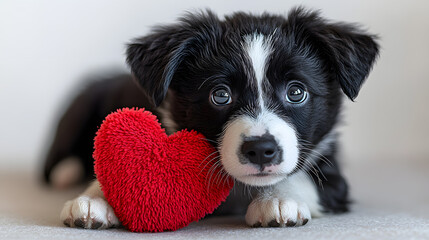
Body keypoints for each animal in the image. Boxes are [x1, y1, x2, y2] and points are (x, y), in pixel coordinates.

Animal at [46, 7, 378, 229]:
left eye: (296, 92)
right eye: (220, 95)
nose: (261, 150)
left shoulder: (332, 171)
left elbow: (304, 176)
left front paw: (278, 200)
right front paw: (98, 199)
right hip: (79, 106)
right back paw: (65, 173)